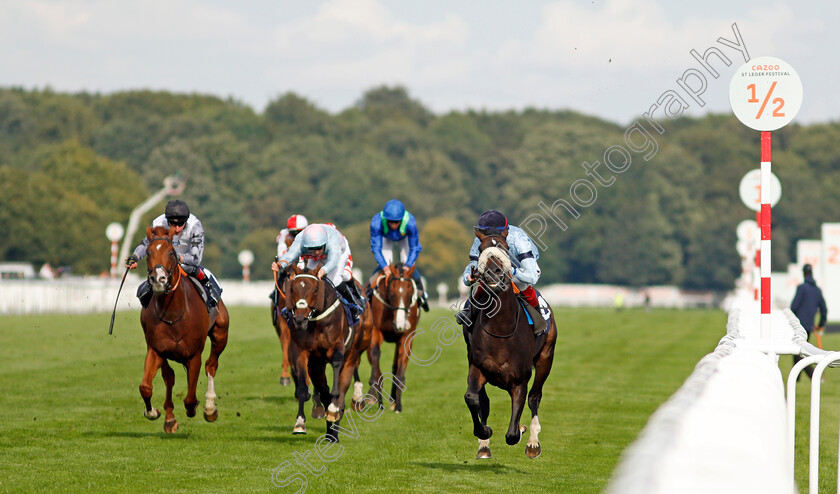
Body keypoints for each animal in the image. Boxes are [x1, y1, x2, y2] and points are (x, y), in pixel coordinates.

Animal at [138, 227, 230, 432]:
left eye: (171, 253)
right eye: (148, 252)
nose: (159, 280)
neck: (174, 313)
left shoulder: (194, 354)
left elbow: (190, 399)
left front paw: (198, 408)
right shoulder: (155, 349)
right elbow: (146, 387)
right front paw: (153, 412)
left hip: (221, 334)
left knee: (211, 365)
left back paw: (210, 408)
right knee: (169, 376)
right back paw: (170, 418)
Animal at [286, 262, 370, 440]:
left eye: (315, 289)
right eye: (293, 288)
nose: (299, 319)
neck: (316, 321)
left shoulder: (337, 348)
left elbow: (336, 385)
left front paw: (333, 410)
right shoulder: (301, 352)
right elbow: (303, 387)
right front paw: (299, 423)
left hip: (352, 355)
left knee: (342, 390)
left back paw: (334, 428)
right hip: (317, 365)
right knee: (323, 391)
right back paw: (330, 429)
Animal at [366, 262, 420, 412]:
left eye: (410, 293)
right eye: (391, 292)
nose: (400, 324)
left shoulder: (407, 336)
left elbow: (400, 371)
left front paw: (398, 406)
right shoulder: (375, 332)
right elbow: (376, 361)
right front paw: (379, 403)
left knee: (395, 365)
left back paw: (393, 399)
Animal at [462, 233, 556, 458]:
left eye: (505, 248)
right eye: (481, 250)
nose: (493, 273)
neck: (501, 330)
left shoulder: (520, 379)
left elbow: (512, 433)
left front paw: (522, 431)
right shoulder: (477, 367)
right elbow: (472, 398)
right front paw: (484, 432)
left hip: (546, 357)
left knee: (535, 397)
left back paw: (533, 442)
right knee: (483, 400)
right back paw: (484, 445)